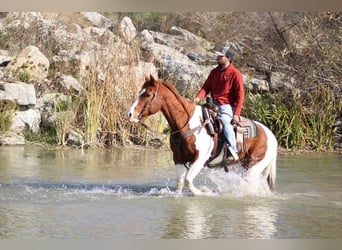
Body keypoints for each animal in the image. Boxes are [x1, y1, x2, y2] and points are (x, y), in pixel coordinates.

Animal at [127, 75, 276, 196]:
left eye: (148, 94)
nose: (130, 114)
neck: (188, 124)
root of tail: (271, 135)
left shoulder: (199, 159)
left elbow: (188, 181)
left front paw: (205, 191)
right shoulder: (178, 158)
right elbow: (180, 183)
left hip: (253, 167)